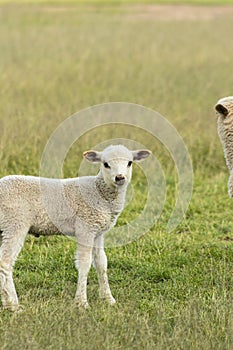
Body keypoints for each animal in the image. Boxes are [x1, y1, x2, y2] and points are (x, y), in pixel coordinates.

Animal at [0, 144, 151, 308]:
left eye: (130, 163)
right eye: (105, 164)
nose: (120, 177)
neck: (100, 193)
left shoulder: (98, 232)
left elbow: (101, 263)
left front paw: (108, 299)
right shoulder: (86, 227)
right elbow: (84, 264)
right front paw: (82, 302)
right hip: (15, 222)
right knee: (5, 262)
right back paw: (13, 305)